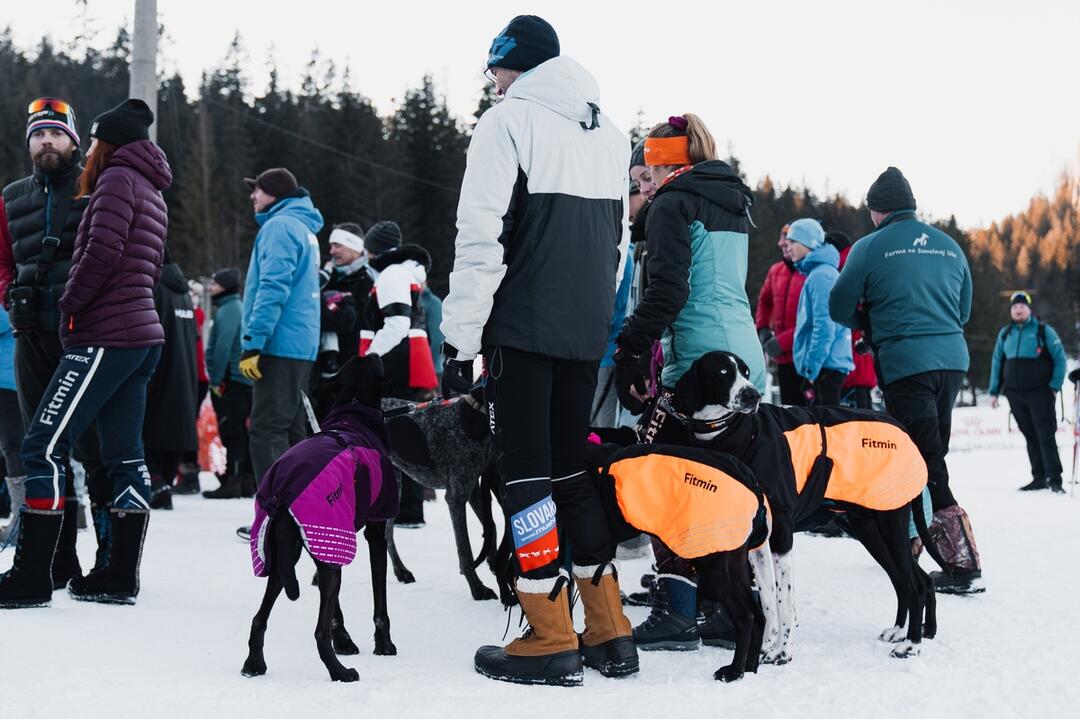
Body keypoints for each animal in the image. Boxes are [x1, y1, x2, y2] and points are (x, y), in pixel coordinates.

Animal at [240, 358, 401, 686]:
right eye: (373, 360)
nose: (377, 353)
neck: (353, 411)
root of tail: (282, 490)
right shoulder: (372, 532)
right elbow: (380, 600)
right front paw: (383, 644)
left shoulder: (328, 542)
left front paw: (346, 638)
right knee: (318, 632)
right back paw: (340, 672)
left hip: (281, 560)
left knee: (259, 618)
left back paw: (254, 664)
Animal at [669, 351, 941, 660]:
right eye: (724, 371)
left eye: (746, 372)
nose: (753, 395)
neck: (739, 435)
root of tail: (904, 430)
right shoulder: (757, 543)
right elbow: (766, 597)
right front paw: (765, 645)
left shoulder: (782, 534)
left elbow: (783, 598)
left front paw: (782, 652)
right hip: (870, 530)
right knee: (909, 580)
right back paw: (902, 631)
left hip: (890, 524)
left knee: (915, 585)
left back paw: (912, 644)